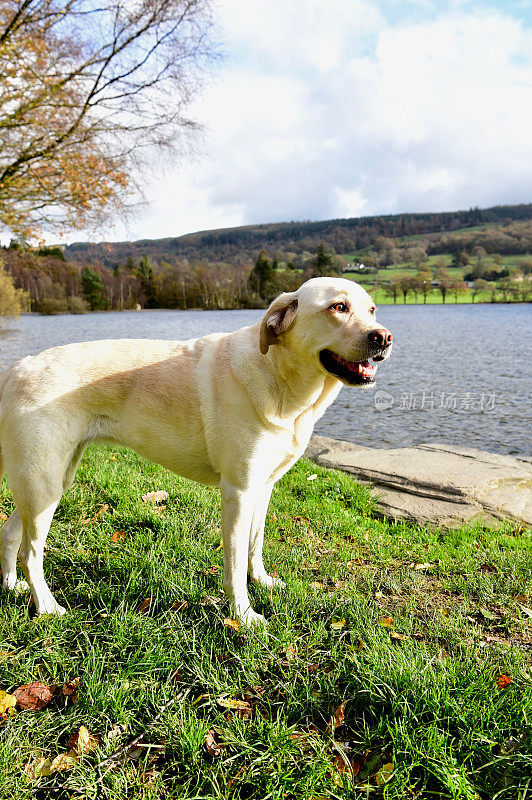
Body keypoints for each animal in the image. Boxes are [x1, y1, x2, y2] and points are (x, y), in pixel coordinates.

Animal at [0, 278, 390, 620]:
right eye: (338, 307)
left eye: (372, 309)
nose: (384, 337)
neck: (283, 383)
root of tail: (16, 366)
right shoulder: (238, 491)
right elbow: (235, 563)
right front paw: (243, 615)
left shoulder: (264, 487)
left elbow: (256, 544)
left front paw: (262, 582)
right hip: (43, 483)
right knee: (31, 553)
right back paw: (47, 607)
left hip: (49, 482)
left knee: (10, 533)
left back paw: (11, 587)